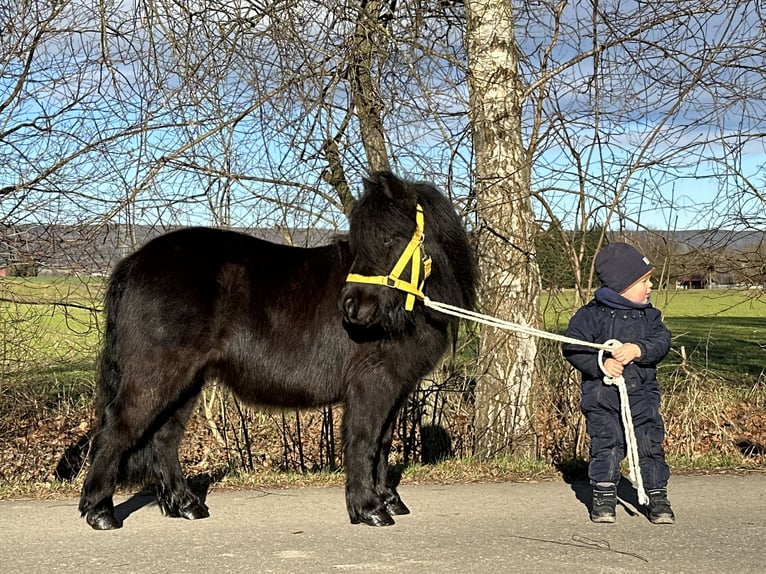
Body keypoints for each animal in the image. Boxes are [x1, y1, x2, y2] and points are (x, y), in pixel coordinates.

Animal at [78, 171, 474, 532]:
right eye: (362, 243)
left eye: (391, 238)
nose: (351, 307)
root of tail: (133, 263)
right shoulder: (372, 384)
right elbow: (364, 440)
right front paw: (369, 509)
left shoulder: (395, 387)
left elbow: (383, 441)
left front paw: (388, 500)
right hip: (157, 374)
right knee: (119, 426)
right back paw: (100, 511)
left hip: (186, 381)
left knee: (164, 437)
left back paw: (187, 505)